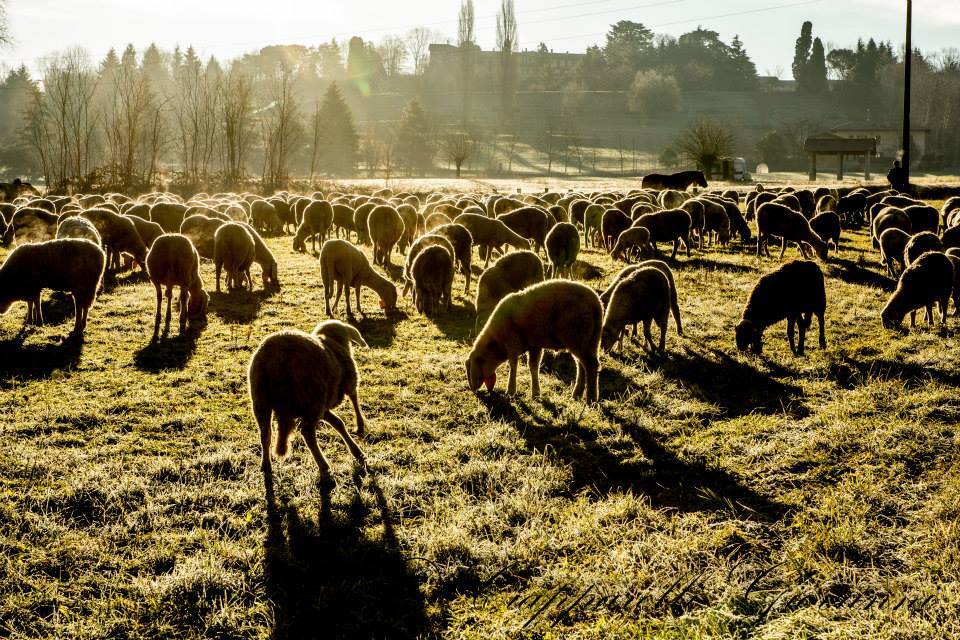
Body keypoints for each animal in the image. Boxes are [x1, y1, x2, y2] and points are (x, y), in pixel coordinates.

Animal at [248, 320, 368, 484]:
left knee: (265, 434)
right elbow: (354, 400)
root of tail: (276, 357)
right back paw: (324, 467)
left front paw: (357, 451)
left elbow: (338, 422)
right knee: (307, 433)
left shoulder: (322, 406)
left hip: (261, 401)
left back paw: (266, 465)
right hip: (312, 398)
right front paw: (360, 427)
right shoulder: (347, 385)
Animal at [464, 278, 600, 400]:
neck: (496, 343)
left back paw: (591, 398)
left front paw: (511, 391)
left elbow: (513, 365)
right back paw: (577, 394)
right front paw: (535, 393)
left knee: (591, 364)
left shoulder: (512, 343)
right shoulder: (534, 345)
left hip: (578, 338)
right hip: (588, 341)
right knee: (582, 365)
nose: (472, 389)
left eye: (470, 368)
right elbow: (533, 367)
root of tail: (596, 303)